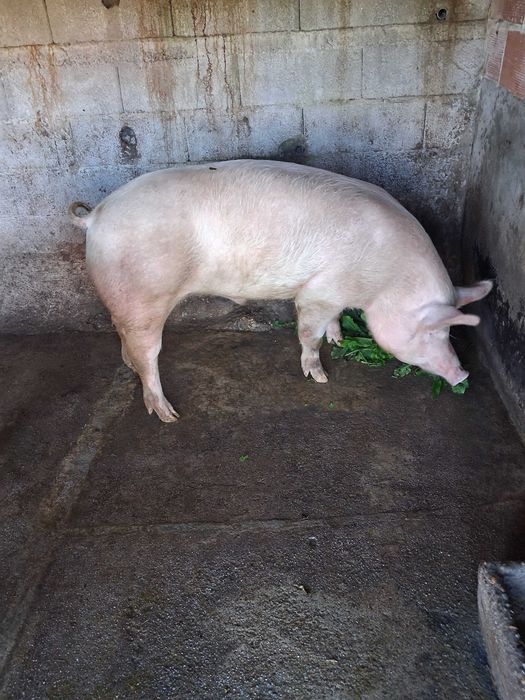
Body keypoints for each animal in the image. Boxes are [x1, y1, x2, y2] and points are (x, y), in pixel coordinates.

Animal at [69, 159, 492, 422]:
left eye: (450, 332)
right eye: (433, 331)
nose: (462, 372)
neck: (387, 280)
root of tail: (95, 217)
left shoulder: (337, 295)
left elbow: (333, 321)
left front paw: (339, 340)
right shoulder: (318, 291)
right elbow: (308, 333)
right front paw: (319, 377)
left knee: (124, 337)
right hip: (142, 295)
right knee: (148, 353)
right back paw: (168, 415)